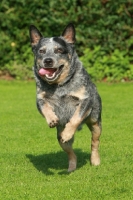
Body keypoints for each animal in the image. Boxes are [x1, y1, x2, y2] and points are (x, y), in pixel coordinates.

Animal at [29, 22, 102, 171]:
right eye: (41, 51)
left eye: (59, 50)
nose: (48, 61)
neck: (59, 86)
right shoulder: (40, 98)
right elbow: (45, 107)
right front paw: (51, 119)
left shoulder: (85, 99)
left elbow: (75, 118)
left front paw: (68, 132)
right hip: (59, 137)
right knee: (70, 153)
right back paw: (71, 167)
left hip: (95, 122)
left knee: (94, 142)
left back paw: (95, 160)